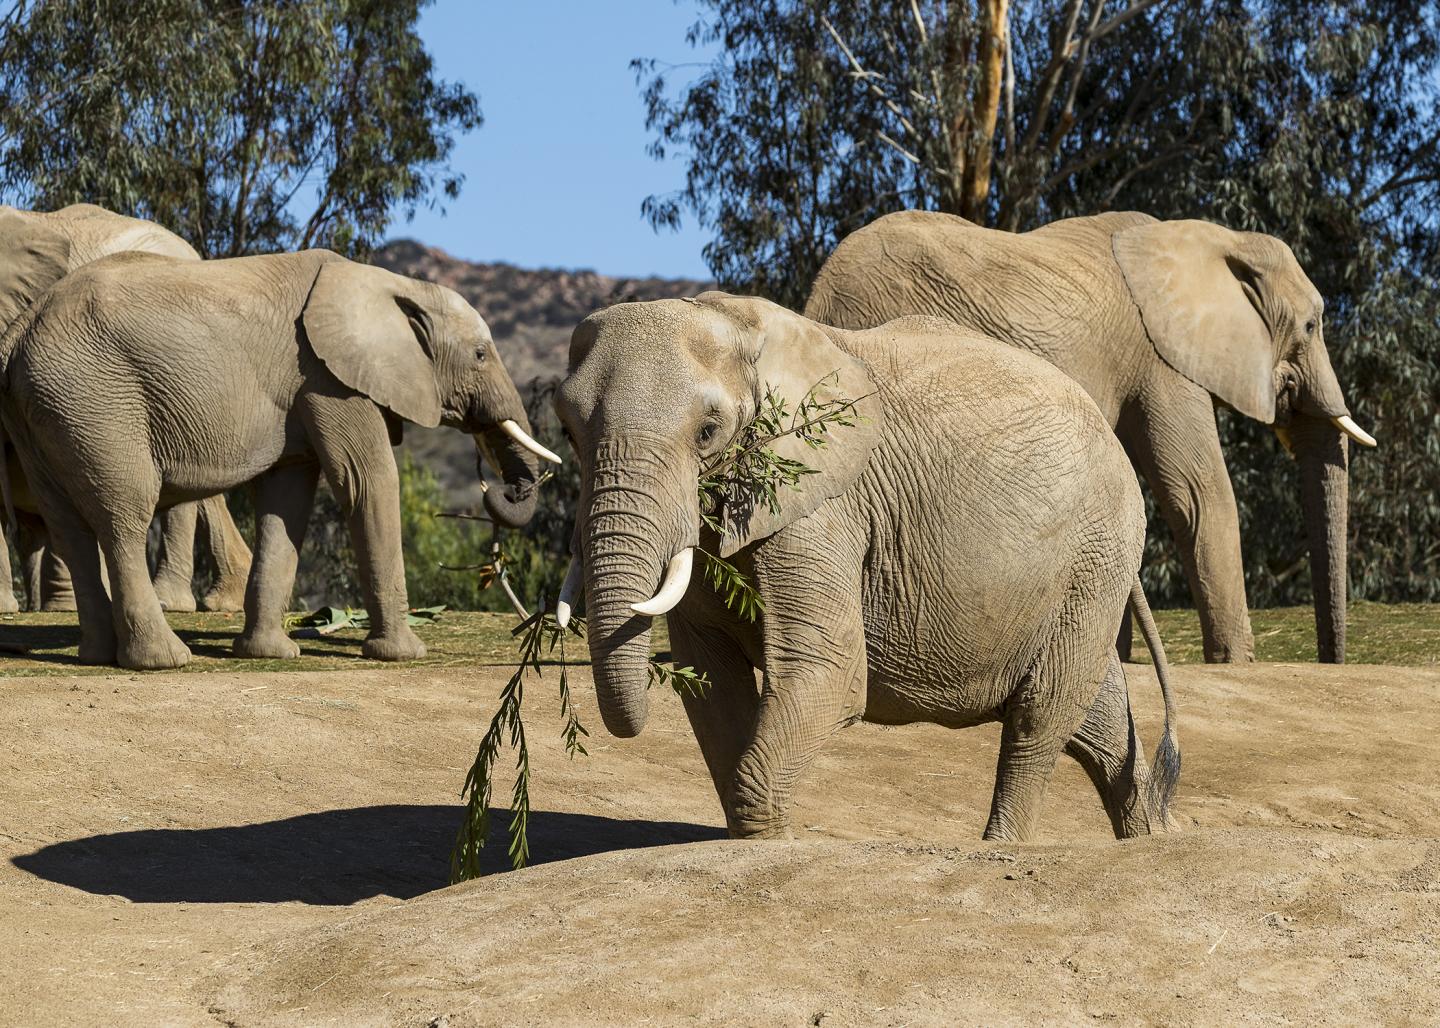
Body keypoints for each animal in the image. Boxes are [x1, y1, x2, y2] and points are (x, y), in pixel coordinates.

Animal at [552, 293, 1180, 840]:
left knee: (1039, 717)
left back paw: (1002, 847)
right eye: (567, 431)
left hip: (1096, 550)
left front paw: (768, 841)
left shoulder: (822, 503)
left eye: (708, 432)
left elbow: (827, 668)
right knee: (1094, 719)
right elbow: (710, 679)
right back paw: (1152, 836)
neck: (736, 322)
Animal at [806, 214, 1376, 665]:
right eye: (1311, 325)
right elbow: (1199, 492)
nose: (1330, 662)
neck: (1215, 238)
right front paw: (1235, 664)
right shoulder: (1160, 358)